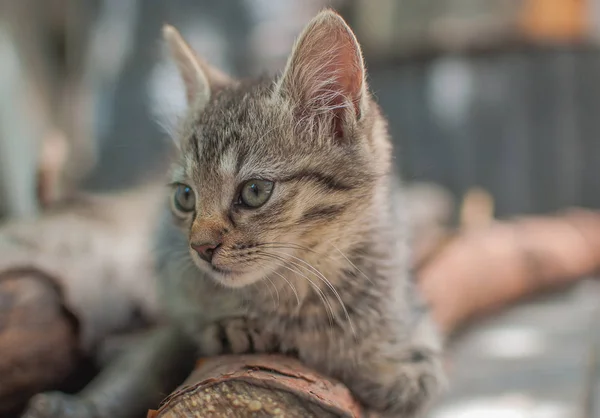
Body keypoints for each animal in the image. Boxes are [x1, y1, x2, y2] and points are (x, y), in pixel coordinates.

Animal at [157, 9, 442, 418]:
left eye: (254, 191)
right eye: (184, 197)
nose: (200, 248)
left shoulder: (410, 302)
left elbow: (422, 372)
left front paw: (391, 372)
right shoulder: (172, 277)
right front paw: (234, 325)